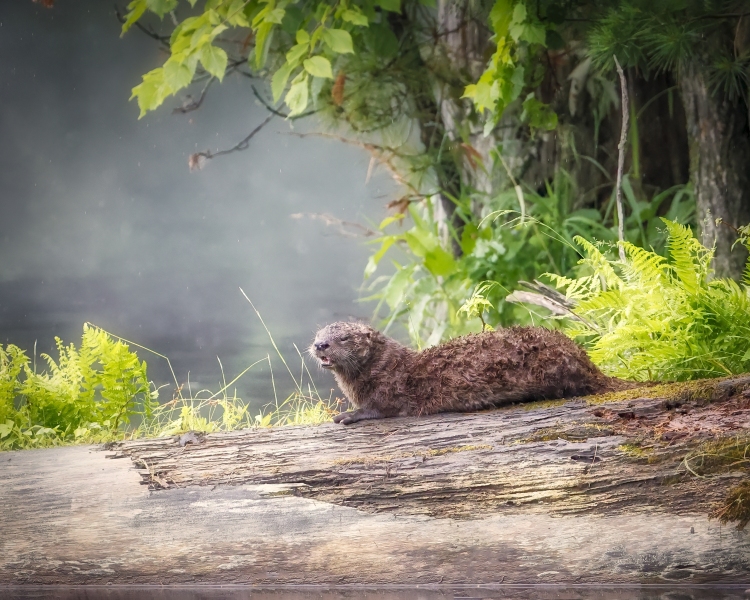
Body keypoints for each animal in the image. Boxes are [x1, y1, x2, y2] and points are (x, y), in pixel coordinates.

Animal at [310, 322, 632, 425]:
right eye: (319, 334)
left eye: (344, 338)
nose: (319, 345)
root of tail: (585, 360)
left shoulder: (390, 391)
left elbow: (377, 409)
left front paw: (347, 415)